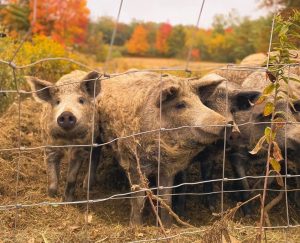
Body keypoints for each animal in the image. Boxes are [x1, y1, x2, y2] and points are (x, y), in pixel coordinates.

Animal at [25, 70, 101, 201]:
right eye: (57, 101)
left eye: (81, 100)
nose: (66, 114)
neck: (67, 141)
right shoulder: (49, 147)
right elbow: (52, 177)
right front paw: (51, 197)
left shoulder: (80, 149)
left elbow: (72, 177)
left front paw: (68, 201)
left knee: (95, 155)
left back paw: (86, 186)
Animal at [96, 70, 232, 226]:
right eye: (180, 105)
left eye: (200, 102)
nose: (228, 124)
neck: (160, 155)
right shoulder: (135, 163)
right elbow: (138, 199)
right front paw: (136, 227)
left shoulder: (168, 169)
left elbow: (166, 199)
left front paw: (168, 226)